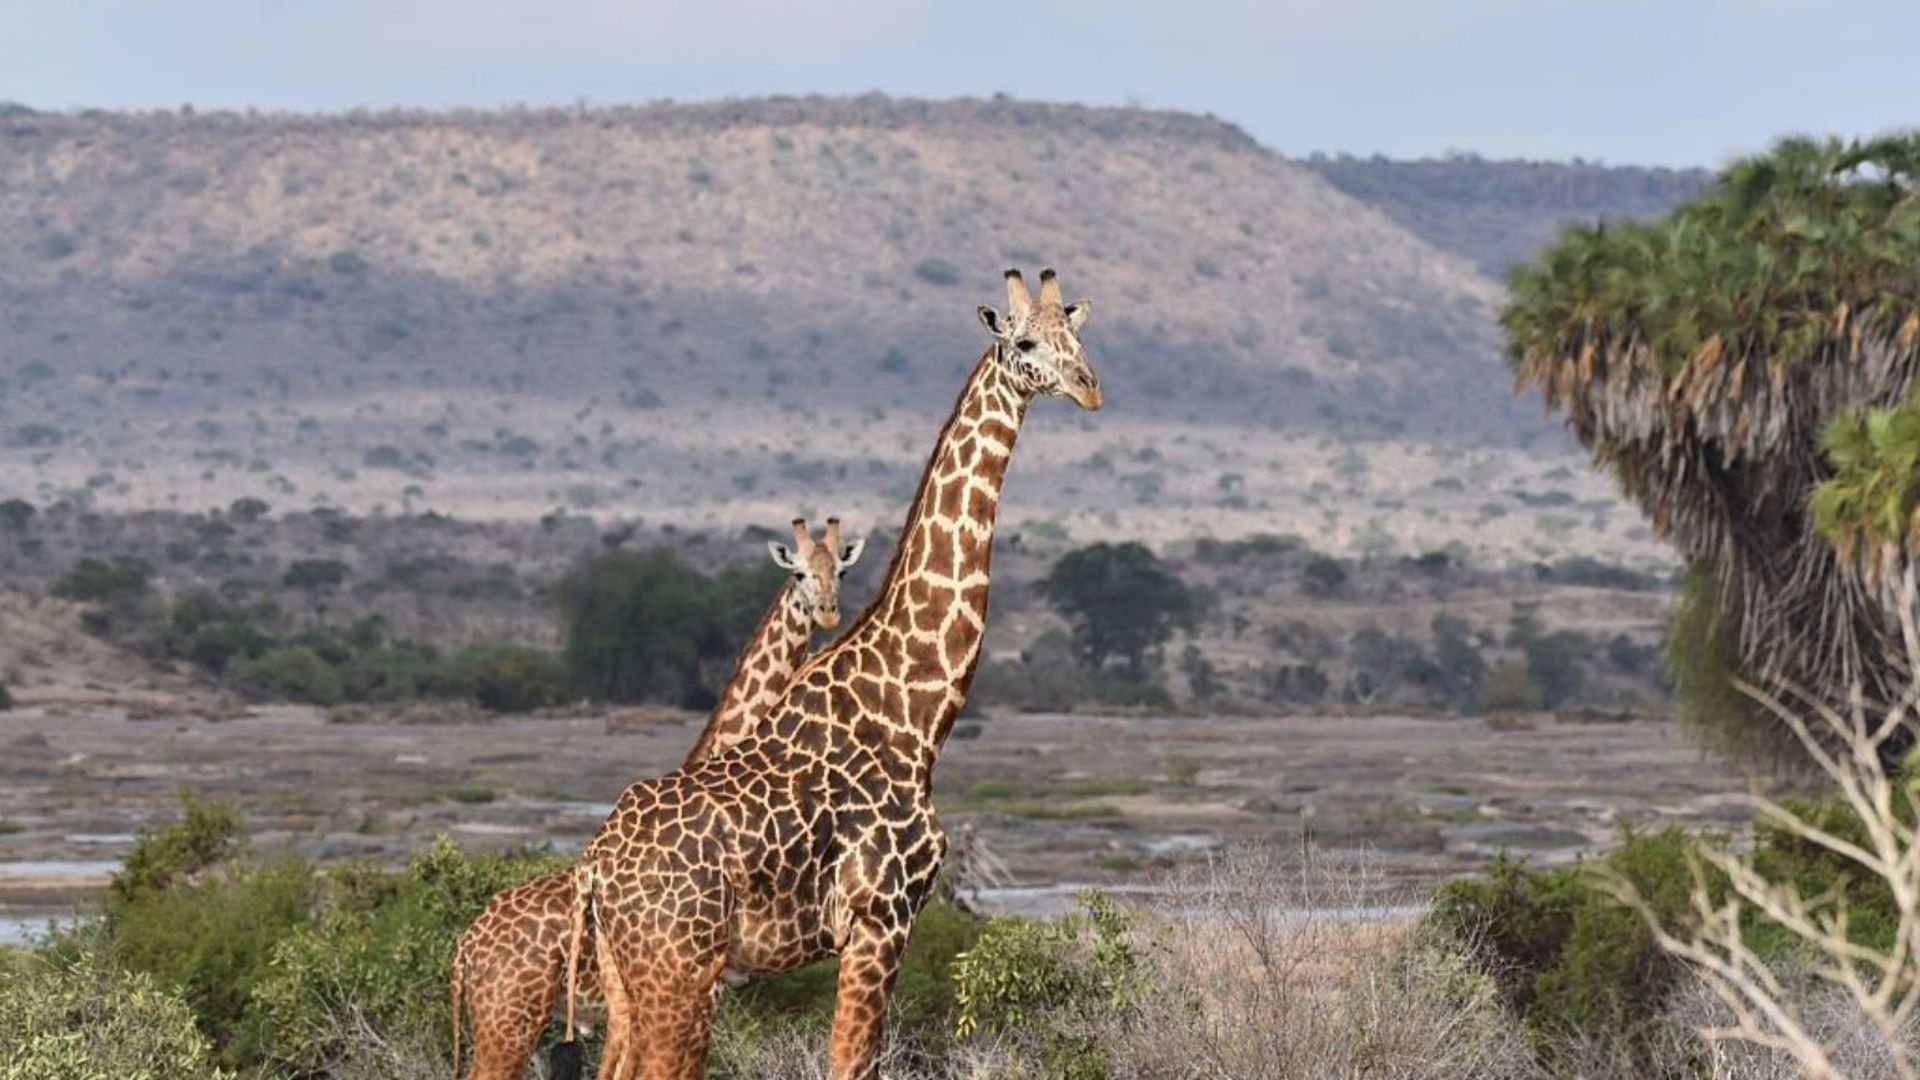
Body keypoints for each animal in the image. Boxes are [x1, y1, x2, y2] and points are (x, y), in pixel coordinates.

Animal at [449, 519, 864, 1080]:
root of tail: (464, 951)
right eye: (798, 572)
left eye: (841, 570)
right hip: (508, 1019)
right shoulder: (700, 990)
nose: (826, 611)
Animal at [561, 268, 1100, 1080]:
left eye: (1078, 336)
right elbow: (851, 1063)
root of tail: (597, 867)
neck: (916, 710)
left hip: (629, 980)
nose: (1089, 387)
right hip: (678, 969)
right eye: (1027, 343)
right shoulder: (881, 917)